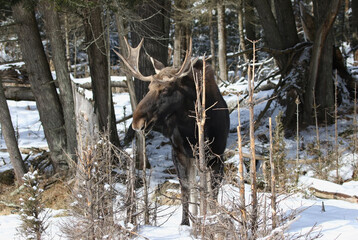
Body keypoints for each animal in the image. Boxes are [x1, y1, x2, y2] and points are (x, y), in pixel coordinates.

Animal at [116, 37, 231, 225]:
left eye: (165, 90)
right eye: (149, 88)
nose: (136, 122)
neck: (193, 128)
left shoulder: (217, 155)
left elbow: (212, 193)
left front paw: (211, 219)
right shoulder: (178, 153)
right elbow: (186, 189)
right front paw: (186, 223)